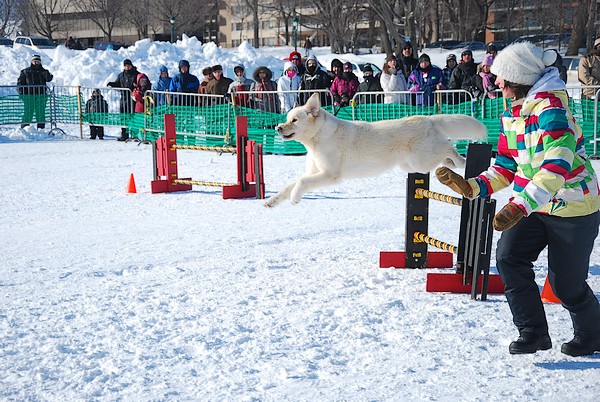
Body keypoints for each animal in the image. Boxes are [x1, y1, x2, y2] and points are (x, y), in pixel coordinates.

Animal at [266, 93, 488, 207]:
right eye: (287, 118)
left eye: (294, 120)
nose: (277, 127)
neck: (318, 138)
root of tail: (428, 119)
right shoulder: (314, 172)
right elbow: (290, 185)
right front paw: (272, 201)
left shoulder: (330, 175)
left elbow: (301, 183)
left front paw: (295, 198)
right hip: (413, 164)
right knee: (444, 153)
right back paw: (452, 165)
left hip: (421, 159)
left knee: (448, 147)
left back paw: (460, 162)